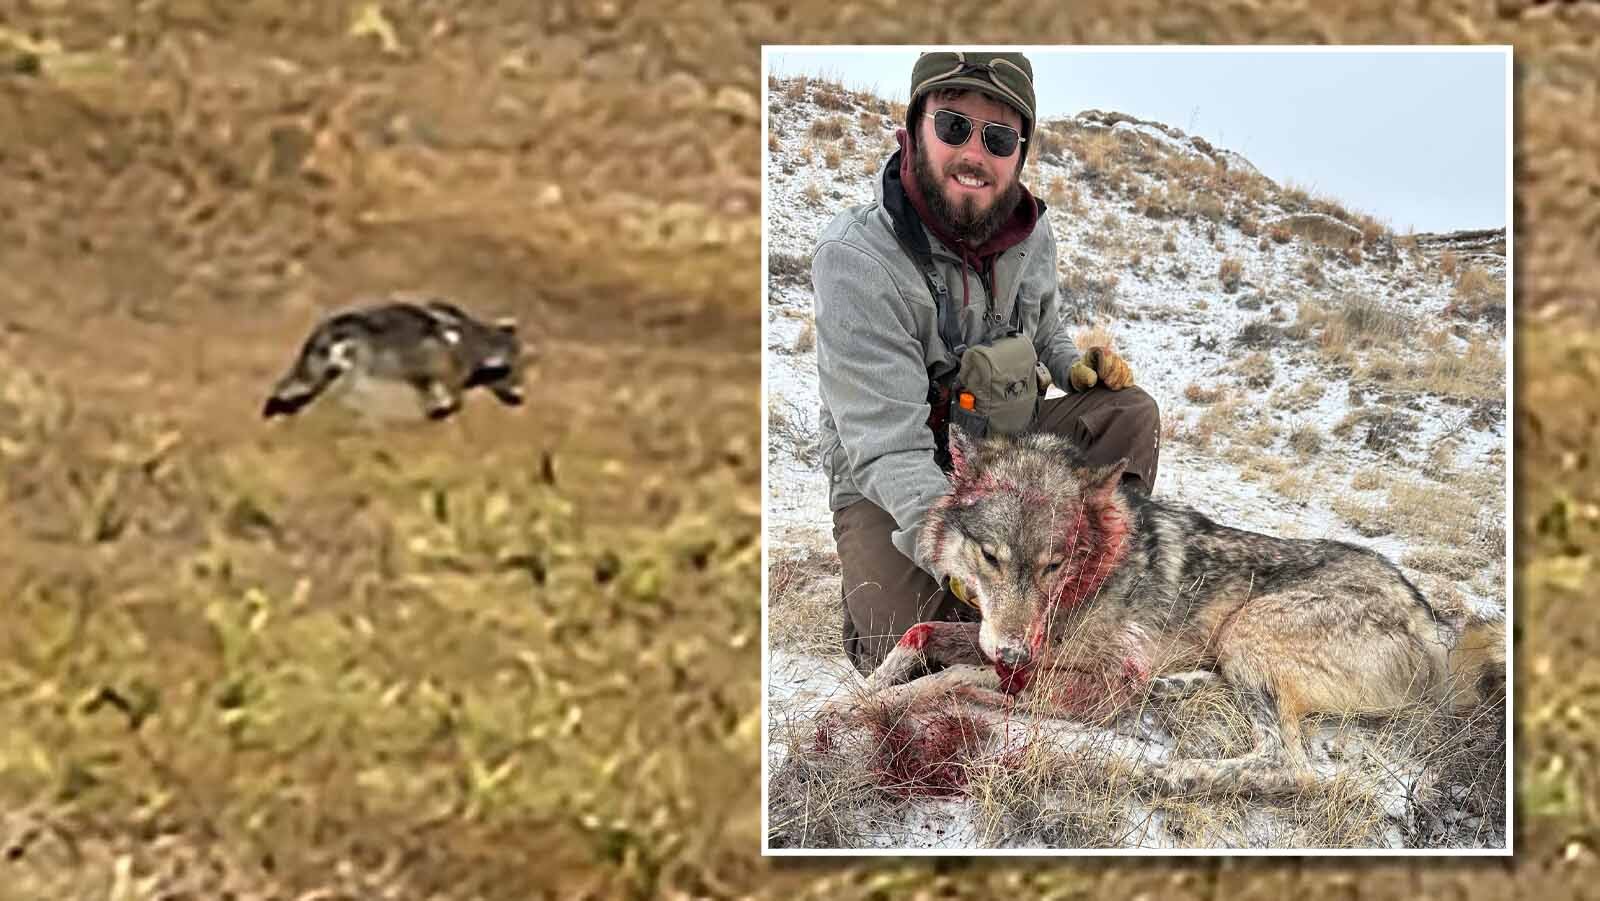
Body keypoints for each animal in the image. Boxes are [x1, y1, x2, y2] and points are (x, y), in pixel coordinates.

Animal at [263, 298, 528, 421]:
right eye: (512, 373)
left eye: (521, 369)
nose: (520, 395)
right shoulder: (445, 371)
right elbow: (453, 398)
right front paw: (440, 409)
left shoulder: (421, 373)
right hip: (356, 366)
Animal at [831, 426, 1505, 797]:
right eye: (991, 557)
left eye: (1054, 564)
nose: (1017, 653)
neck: (1093, 570)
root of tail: (1432, 624)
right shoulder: (995, 641)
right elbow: (919, 636)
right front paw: (850, 698)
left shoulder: (1093, 679)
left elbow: (951, 678)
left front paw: (878, 705)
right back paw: (1175, 691)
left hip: (1248, 632)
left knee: (1290, 768)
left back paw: (1161, 773)